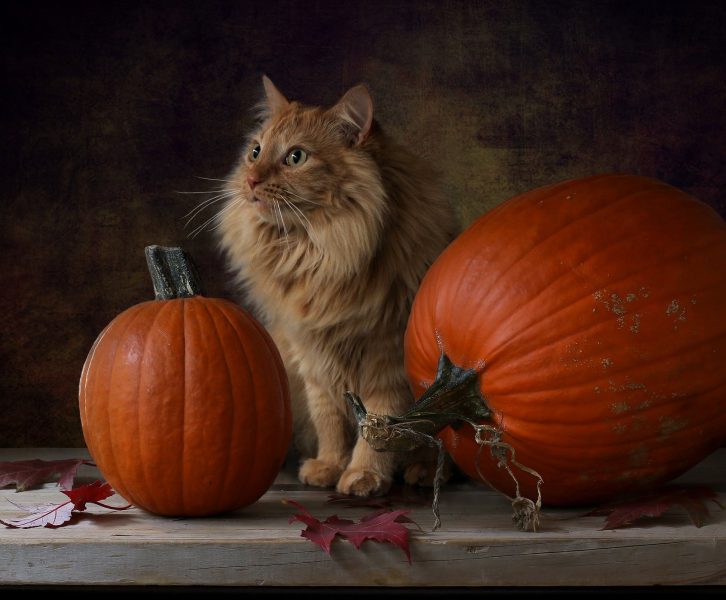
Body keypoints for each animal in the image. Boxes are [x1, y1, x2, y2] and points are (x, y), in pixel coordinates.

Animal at [216, 76, 458, 496]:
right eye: (255, 151)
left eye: (296, 157)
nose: (250, 180)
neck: (318, 254)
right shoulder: (311, 357)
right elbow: (328, 420)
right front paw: (329, 466)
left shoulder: (386, 360)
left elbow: (377, 426)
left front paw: (363, 475)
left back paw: (426, 472)